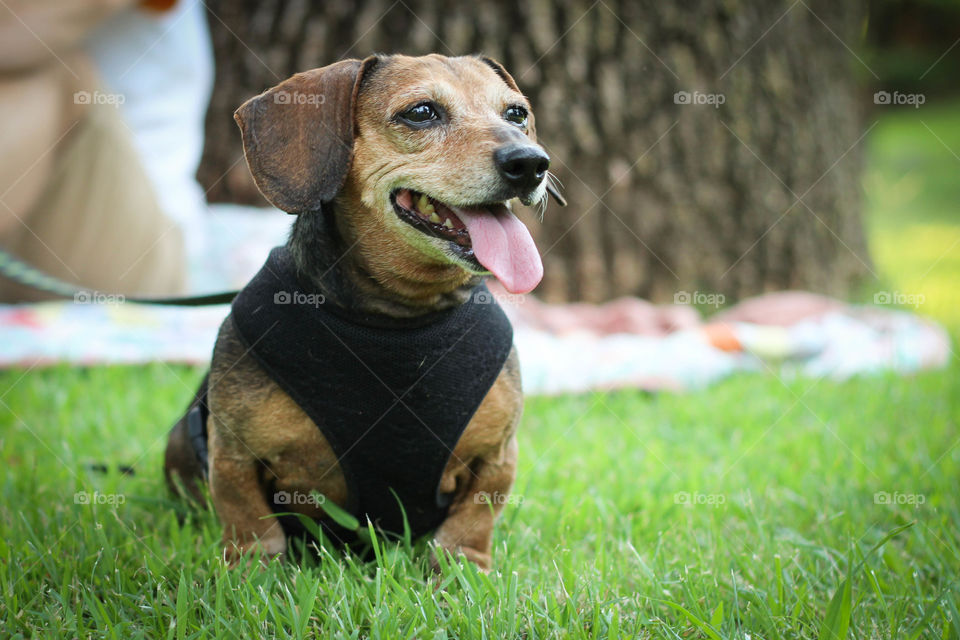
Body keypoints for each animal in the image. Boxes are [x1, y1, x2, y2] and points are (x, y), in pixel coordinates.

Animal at [161, 52, 560, 568]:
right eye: (421, 112)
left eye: (516, 114)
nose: (531, 163)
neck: (398, 318)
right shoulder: (234, 454)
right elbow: (250, 523)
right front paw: (253, 571)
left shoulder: (495, 457)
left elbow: (471, 523)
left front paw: (462, 569)